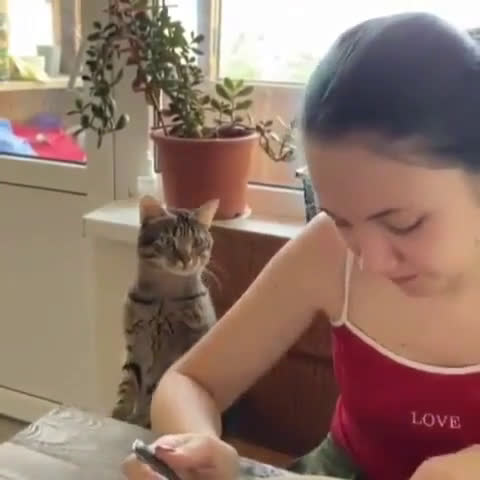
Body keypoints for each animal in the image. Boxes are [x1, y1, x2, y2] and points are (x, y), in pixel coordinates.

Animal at [111, 195, 218, 427]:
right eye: (168, 241)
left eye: (197, 242)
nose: (186, 259)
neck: (165, 297)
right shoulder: (135, 345)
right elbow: (128, 384)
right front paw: (119, 414)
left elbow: (154, 392)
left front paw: (142, 420)